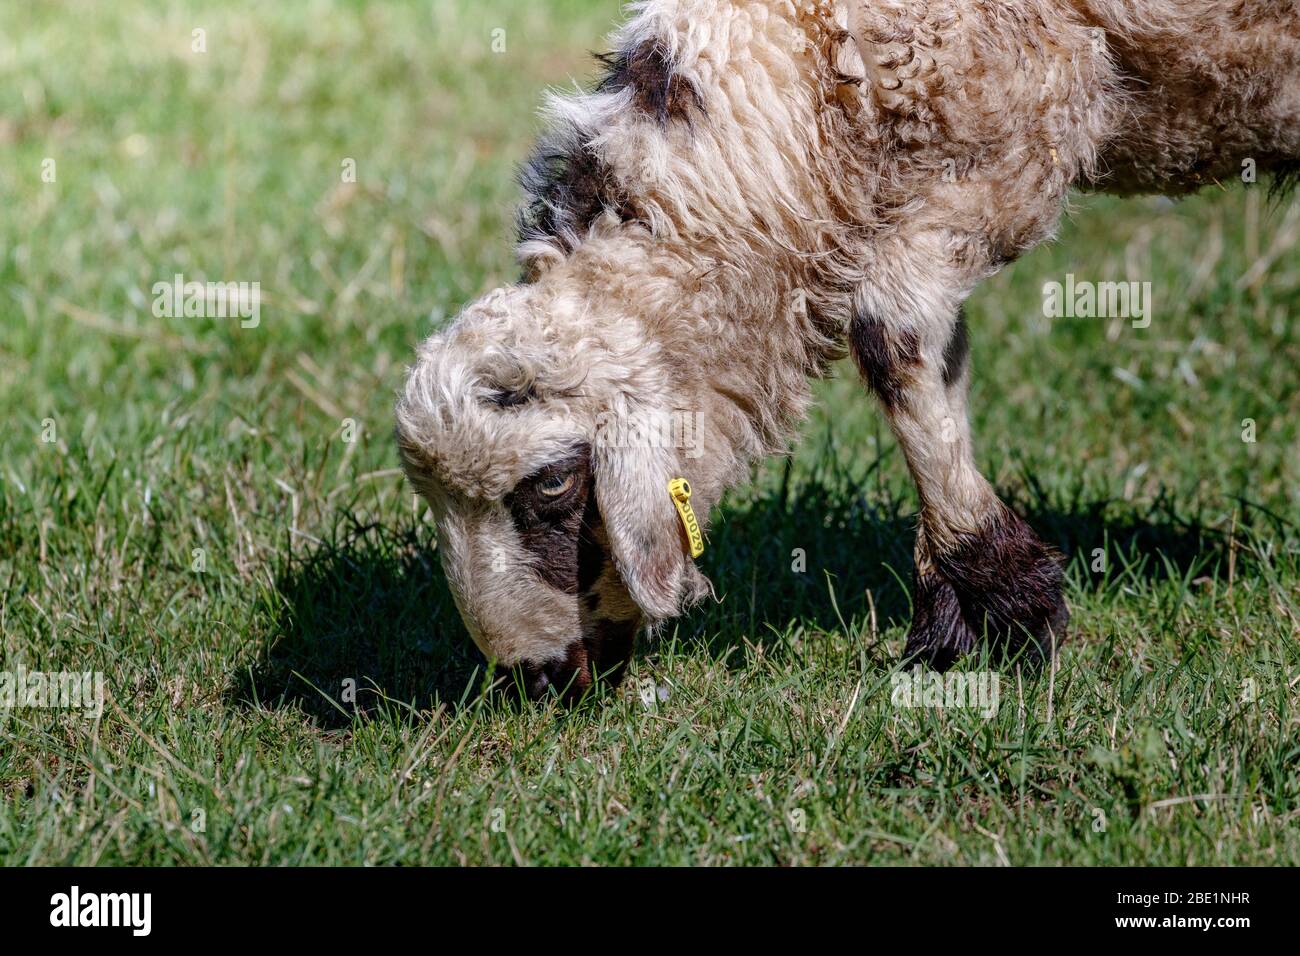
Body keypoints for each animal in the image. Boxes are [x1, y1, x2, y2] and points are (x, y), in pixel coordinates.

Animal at [395, 0, 1300, 702]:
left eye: (551, 487)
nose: (536, 680)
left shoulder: (1009, 128)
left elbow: (894, 338)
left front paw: (1008, 604)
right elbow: (935, 358)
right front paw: (956, 618)